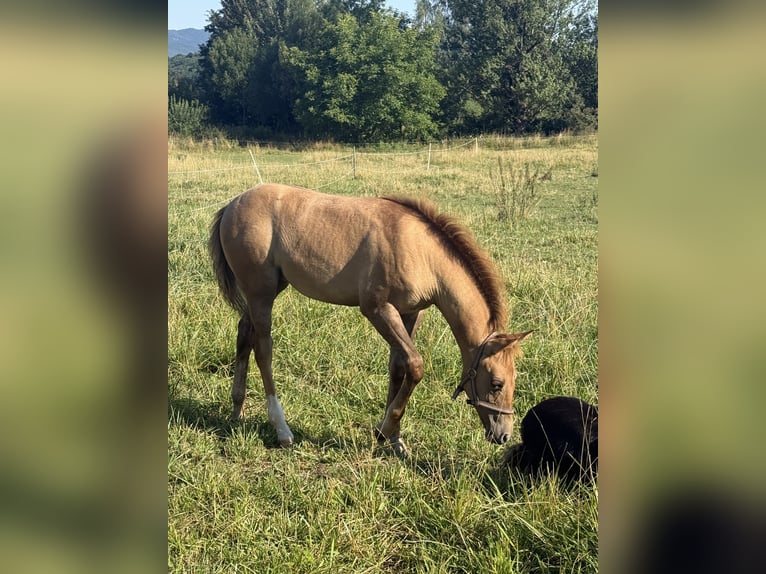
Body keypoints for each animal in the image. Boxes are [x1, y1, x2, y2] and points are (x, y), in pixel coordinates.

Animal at [208, 183, 531, 457]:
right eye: (497, 383)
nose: (504, 435)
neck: (422, 253)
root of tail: (232, 205)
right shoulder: (377, 309)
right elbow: (415, 366)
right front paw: (385, 431)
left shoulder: (410, 312)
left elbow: (399, 367)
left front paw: (394, 439)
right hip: (261, 292)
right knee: (263, 349)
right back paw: (282, 429)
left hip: (268, 290)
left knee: (244, 334)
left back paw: (236, 410)